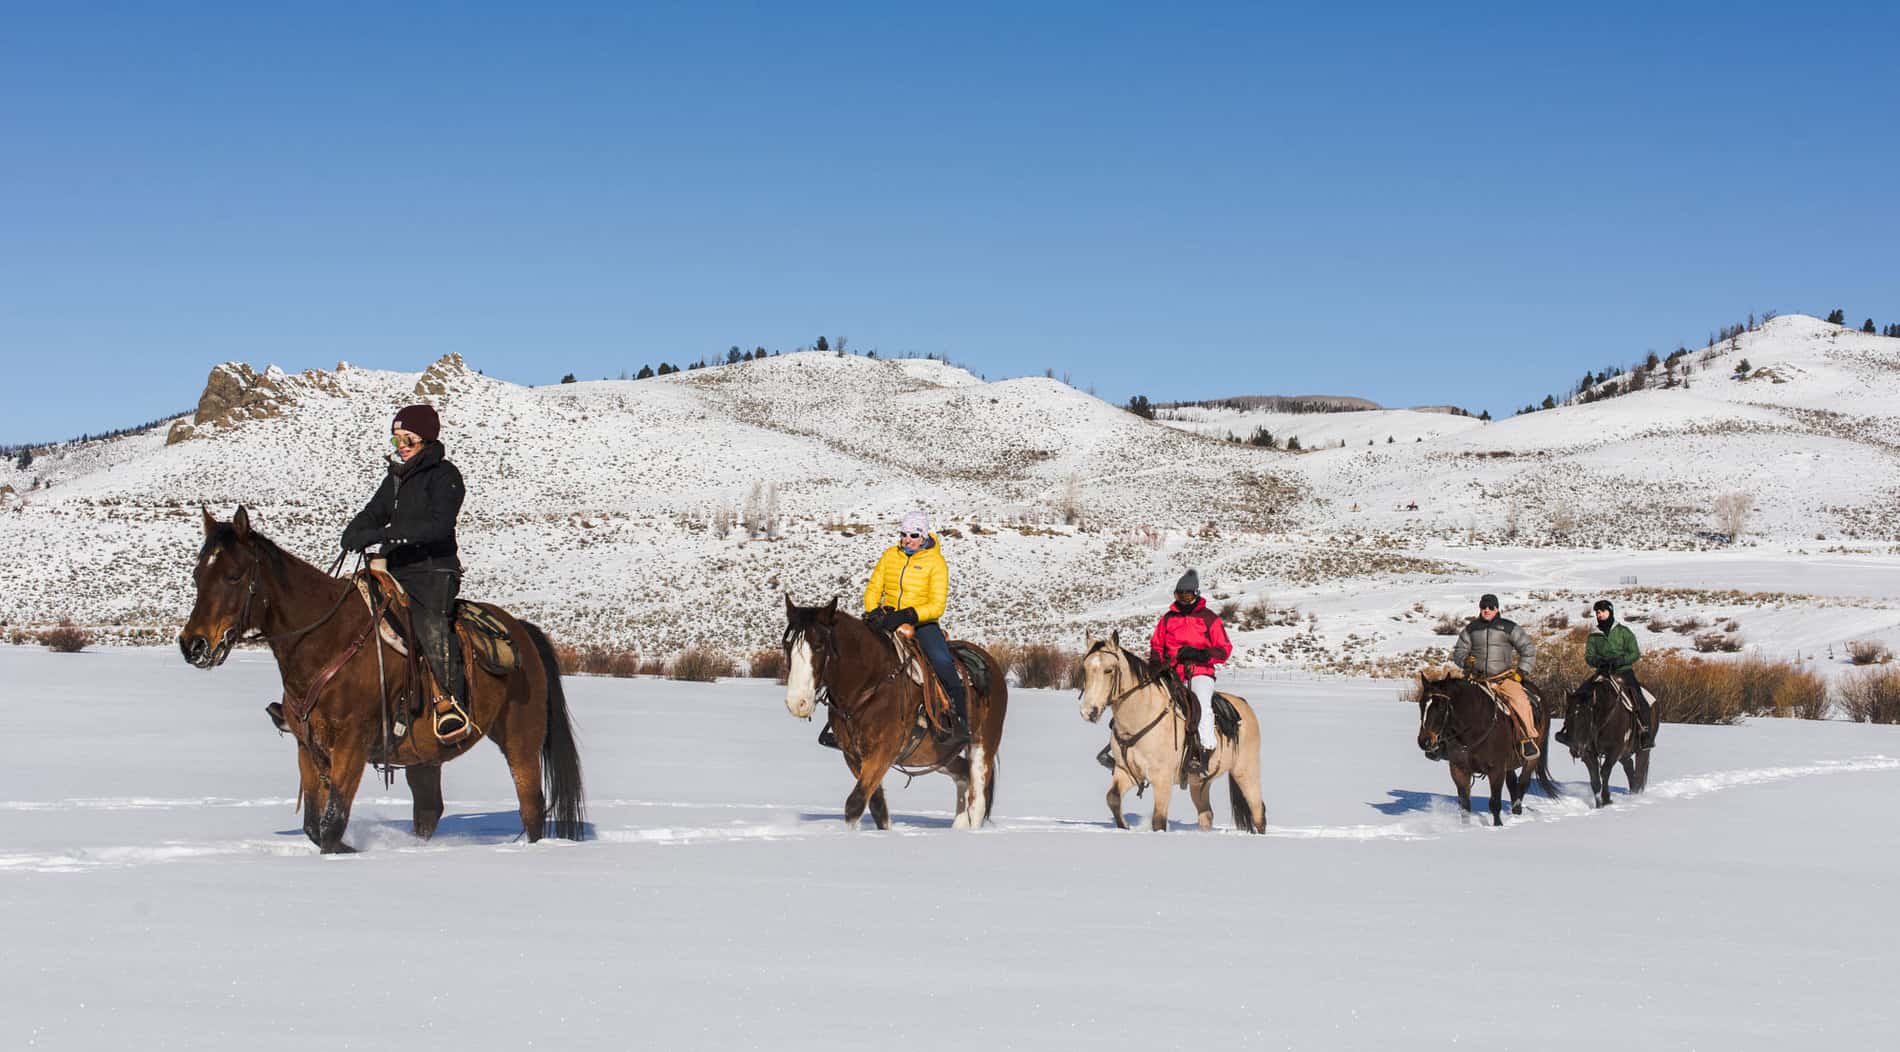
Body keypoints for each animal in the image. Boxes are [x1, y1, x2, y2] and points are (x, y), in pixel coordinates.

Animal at [178, 505, 581, 850]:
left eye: (233, 576)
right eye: (197, 575)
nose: (193, 644)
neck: (328, 639)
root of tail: (523, 632)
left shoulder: (352, 744)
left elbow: (332, 825)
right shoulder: (308, 748)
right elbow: (314, 826)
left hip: (520, 740)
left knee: (530, 808)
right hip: (425, 757)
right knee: (429, 810)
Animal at [779, 596, 1010, 827]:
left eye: (819, 646)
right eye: (787, 644)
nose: (797, 702)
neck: (870, 684)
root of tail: (992, 664)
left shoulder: (883, 752)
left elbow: (854, 804)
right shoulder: (853, 756)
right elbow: (877, 807)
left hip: (982, 744)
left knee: (977, 799)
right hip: (939, 755)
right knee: (962, 775)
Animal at [1079, 626, 1269, 831]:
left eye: (1109, 670)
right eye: (1085, 668)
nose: (1088, 712)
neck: (1140, 718)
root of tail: (1244, 706)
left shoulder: (1162, 779)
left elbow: (1159, 820)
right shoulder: (1126, 771)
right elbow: (1113, 798)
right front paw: (1125, 827)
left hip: (1246, 772)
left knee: (1258, 812)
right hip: (1200, 783)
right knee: (1206, 815)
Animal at [1413, 668, 1558, 824]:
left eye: (1441, 706)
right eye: (1421, 704)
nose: (1425, 741)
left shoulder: (1496, 770)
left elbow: (1494, 803)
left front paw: (1498, 826)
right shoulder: (1459, 770)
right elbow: (1465, 807)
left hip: (1532, 759)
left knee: (1523, 783)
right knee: (1512, 783)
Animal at [1565, 668, 1656, 805]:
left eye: (1586, 718)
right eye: (1568, 716)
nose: (1575, 750)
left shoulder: (1614, 749)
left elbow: (1605, 771)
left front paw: (1607, 799)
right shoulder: (1588, 752)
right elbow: (1595, 778)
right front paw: (1599, 804)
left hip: (1642, 749)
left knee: (1640, 770)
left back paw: (1636, 796)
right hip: (1625, 752)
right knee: (1629, 766)